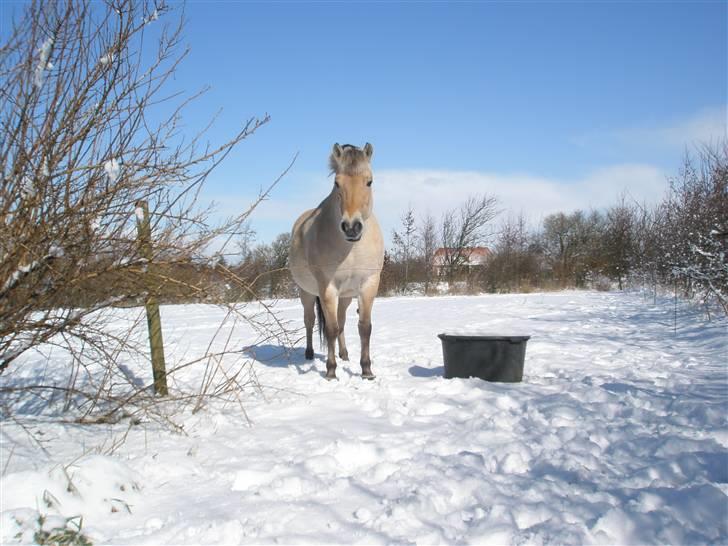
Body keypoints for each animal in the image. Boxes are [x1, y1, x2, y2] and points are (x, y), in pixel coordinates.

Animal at [288, 141, 384, 378]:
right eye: (337, 183)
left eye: (369, 181)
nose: (351, 227)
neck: (351, 248)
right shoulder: (328, 288)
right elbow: (330, 329)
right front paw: (331, 371)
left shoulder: (368, 285)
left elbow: (364, 328)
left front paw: (366, 370)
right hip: (307, 293)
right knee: (310, 321)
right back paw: (310, 353)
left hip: (346, 296)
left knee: (341, 322)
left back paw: (344, 354)